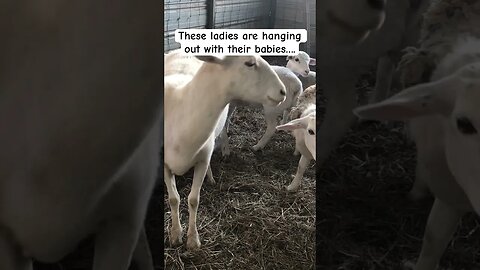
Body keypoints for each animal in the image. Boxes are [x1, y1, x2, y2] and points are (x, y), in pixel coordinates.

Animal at [163, 49, 286, 250]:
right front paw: (175, 234)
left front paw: (193, 239)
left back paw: (211, 178)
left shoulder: (203, 159)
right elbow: (174, 199)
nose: (283, 92)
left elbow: (193, 200)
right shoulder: (164, 164)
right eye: (249, 63)